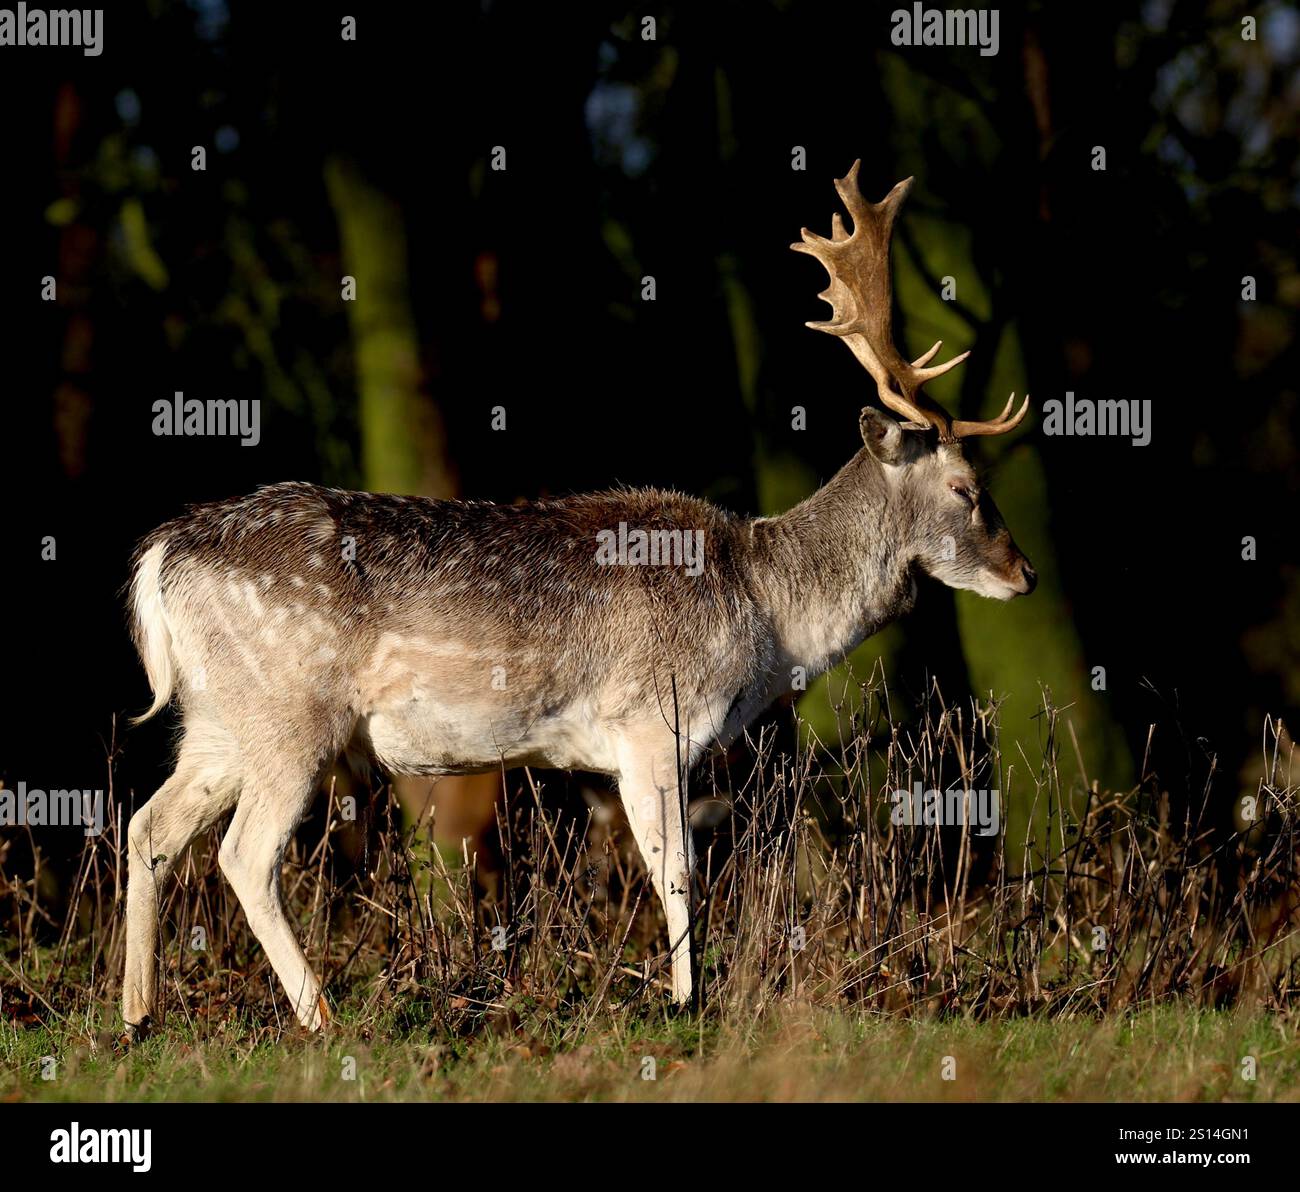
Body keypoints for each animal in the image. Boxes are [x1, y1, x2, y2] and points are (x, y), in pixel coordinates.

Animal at [121, 162, 1035, 1038]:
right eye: (966, 487)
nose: (1024, 571)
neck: (768, 612)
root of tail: (163, 556)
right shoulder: (651, 719)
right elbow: (675, 867)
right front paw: (684, 1001)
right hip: (291, 713)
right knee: (243, 855)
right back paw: (321, 1017)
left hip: (219, 721)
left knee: (148, 828)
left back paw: (137, 1016)